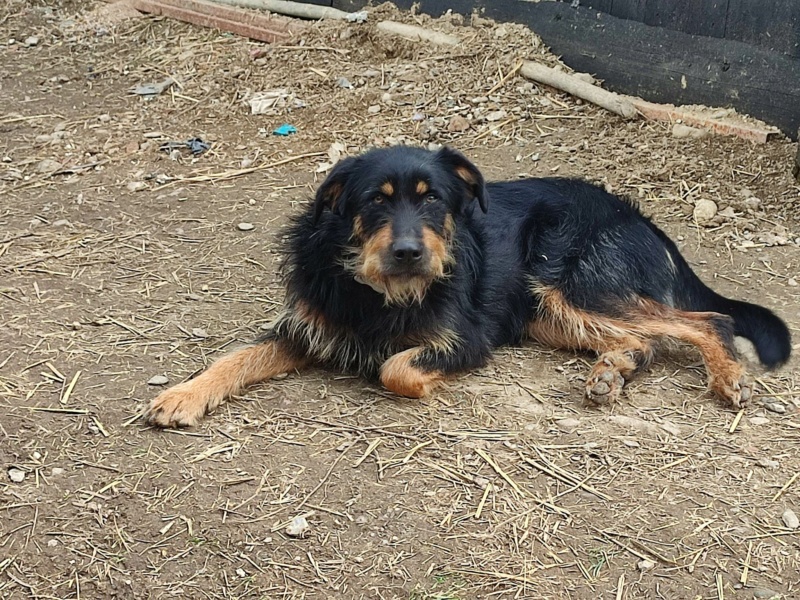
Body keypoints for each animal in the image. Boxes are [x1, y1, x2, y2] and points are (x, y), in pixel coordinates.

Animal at [142, 145, 788, 426]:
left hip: (568, 283)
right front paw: (185, 394)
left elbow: (395, 367)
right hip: (545, 314)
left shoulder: (466, 340)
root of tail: (642, 218)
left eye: (434, 202)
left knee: (706, 321)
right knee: (645, 341)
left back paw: (728, 377)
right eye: (375, 203)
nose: (409, 251)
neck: (379, 288)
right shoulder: (311, 325)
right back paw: (612, 372)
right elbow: (235, 357)